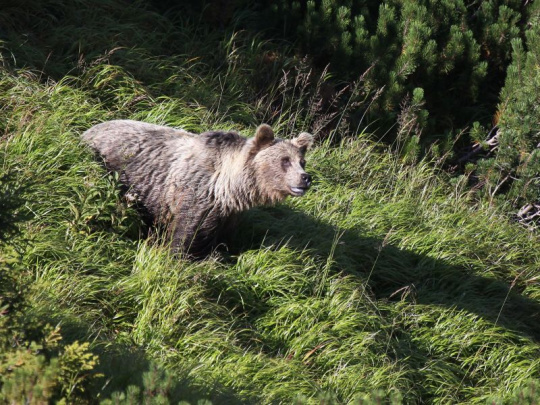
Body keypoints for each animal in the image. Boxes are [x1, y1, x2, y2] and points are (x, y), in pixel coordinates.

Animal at [82, 118, 314, 256]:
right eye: (285, 161)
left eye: (302, 161)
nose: (305, 178)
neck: (227, 189)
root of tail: (88, 129)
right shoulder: (195, 199)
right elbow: (186, 236)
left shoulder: (228, 215)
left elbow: (224, 241)